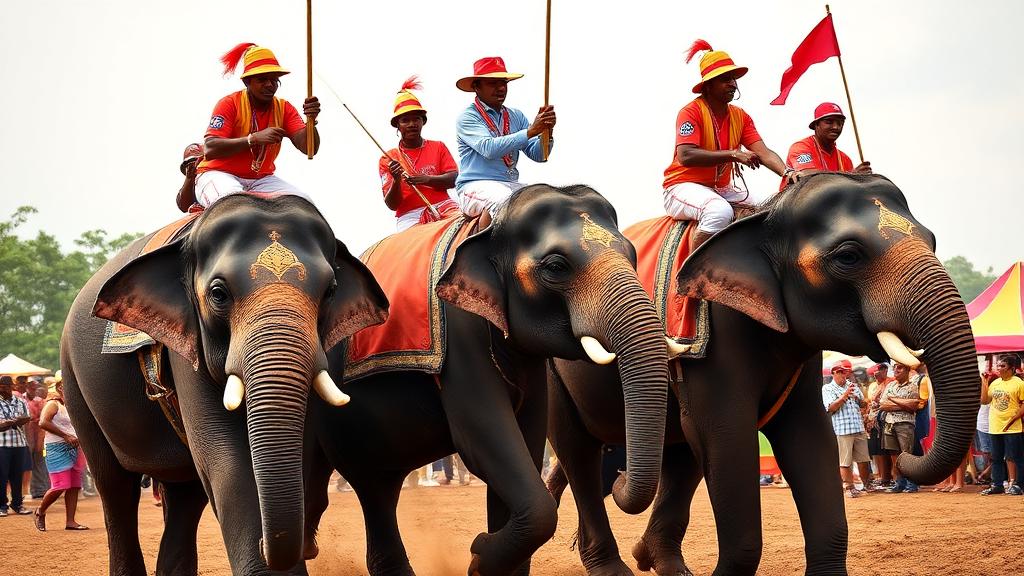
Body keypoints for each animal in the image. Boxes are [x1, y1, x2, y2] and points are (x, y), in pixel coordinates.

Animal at [60, 194, 388, 575]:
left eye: (330, 291)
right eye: (218, 294)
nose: (267, 543)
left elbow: (302, 449)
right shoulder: (185, 348)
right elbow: (226, 461)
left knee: (185, 493)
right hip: (74, 383)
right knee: (115, 488)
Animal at [302, 184, 672, 576]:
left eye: (632, 255)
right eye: (556, 267)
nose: (618, 478)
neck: (490, 228)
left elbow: (527, 440)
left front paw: (486, 557)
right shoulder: (460, 336)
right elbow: (483, 440)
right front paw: (479, 555)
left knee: (376, 484)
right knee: (365, 484)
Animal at [545, 173, 980, 576]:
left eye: (932, 240)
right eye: (848, 256)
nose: (905, 454)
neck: (766, 215)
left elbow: (810, 435)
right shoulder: (715, 341)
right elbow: (727, 436)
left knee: (678, 454)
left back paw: (655, 560)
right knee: (578, 452)